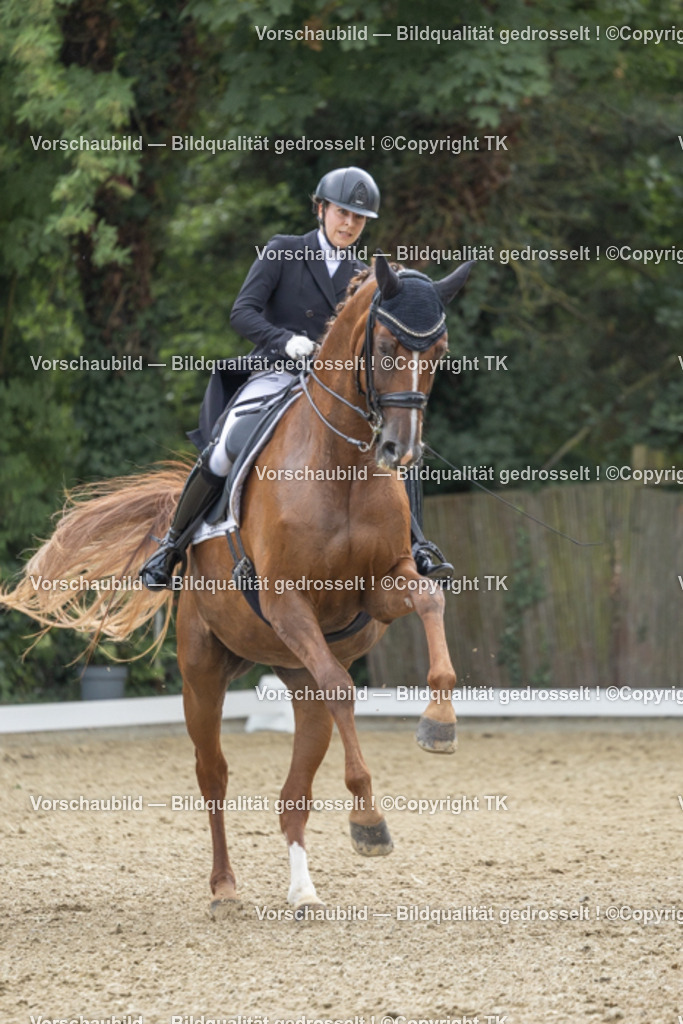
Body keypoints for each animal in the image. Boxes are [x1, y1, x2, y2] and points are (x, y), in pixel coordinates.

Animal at [1, 255, 473, 917]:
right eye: (384, 344)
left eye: (440, 352)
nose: (398, 450)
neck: (342, 466)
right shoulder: (285, 601)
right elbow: (341, 685)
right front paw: (370, 820)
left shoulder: (380, 588)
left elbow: (429, 599)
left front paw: (439, 724)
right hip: (203, 671)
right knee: (215, 774)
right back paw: (224, 887)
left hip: (294, 675)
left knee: (295, 786)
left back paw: (303, 890)